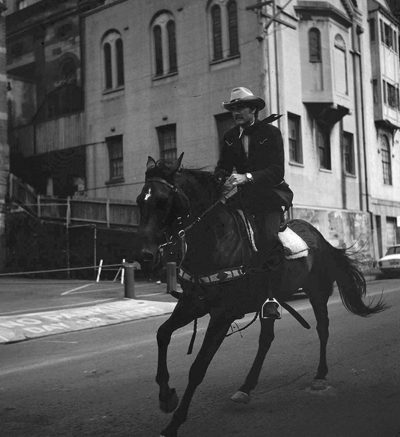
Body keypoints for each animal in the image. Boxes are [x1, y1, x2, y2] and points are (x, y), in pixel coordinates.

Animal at [136, 154, 386, 436]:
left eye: (163, 201)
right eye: (140, 200)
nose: (146, 255)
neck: (215, 241)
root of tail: (321, 238)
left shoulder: (222, 314)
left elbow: (198, 367)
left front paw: (174, 422)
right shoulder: (193, 303)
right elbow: (162, 334)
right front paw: (166, 395)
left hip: (317, 292)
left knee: (322, 328)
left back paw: (320, 375)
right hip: (269, 302)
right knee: (267, 339)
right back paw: (246, 387)